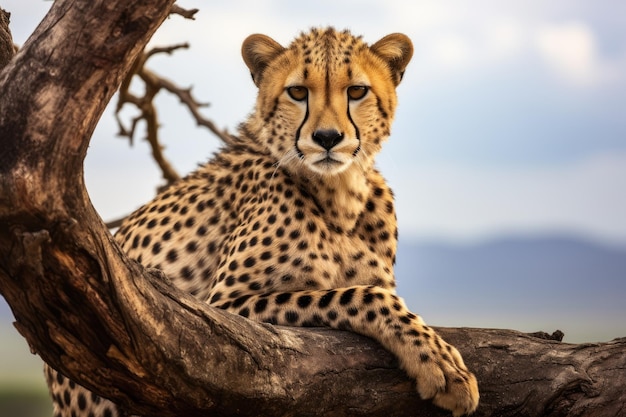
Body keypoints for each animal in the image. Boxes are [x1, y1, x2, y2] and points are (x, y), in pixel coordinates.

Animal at [45, 27, 478, 414]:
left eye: (357, 91)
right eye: (298, 92)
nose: (327, 138)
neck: (341, 194)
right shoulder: (218, 316)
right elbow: (360, 295)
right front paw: (444, 367)